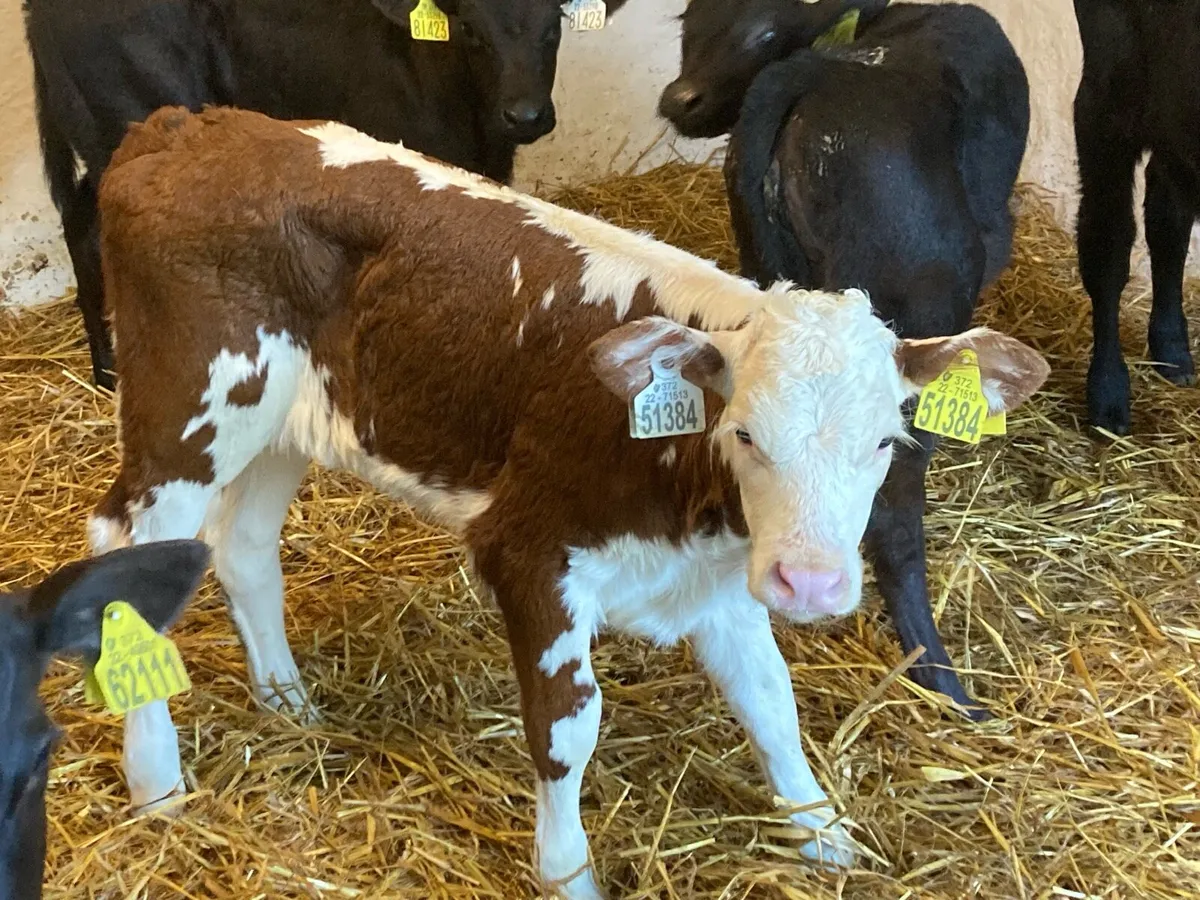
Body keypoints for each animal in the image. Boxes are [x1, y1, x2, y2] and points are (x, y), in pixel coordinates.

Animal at [90, 105, 1048, 896]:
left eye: (886, 441)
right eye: (743, 433)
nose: (809, 583)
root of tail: (183, 128)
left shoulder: (715, 582)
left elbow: (771, 699)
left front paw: (821, 831)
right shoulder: (528, 551)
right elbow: (566, 727)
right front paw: (566, 872)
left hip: (282, 424)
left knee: (245, 547)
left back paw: (286, 701)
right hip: (186, 411)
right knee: (120, 541)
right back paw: (156, 782)